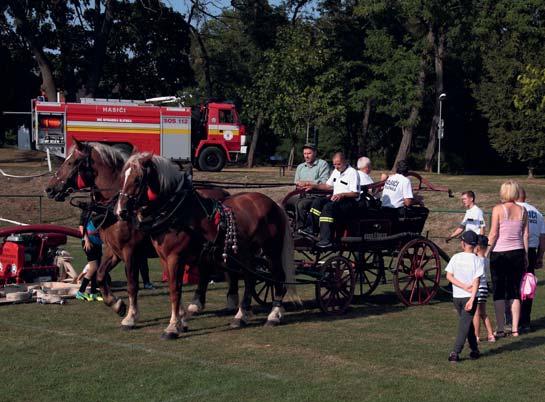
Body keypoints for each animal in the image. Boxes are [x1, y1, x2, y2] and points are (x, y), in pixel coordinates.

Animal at [44, 141, 227, 330]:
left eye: (71, 163)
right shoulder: (113, 251)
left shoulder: (130, 251)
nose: (49, 188)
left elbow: (132, 284)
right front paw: (117, 304)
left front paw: (131, 317)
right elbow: (101, 275)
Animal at [115, 152, 298, 338]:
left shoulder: (174, 257)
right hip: (245, 252)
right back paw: (241, 316)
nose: (120, 211)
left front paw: (172, 327)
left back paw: (273, 315)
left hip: (271, 250)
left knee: (277, 276)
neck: (177, 212)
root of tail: (274, 204)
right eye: (122, 178)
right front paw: (182, 320)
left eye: (137, 179)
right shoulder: (164, 258)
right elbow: (176, 288)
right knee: (249, 278)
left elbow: (174, 290)